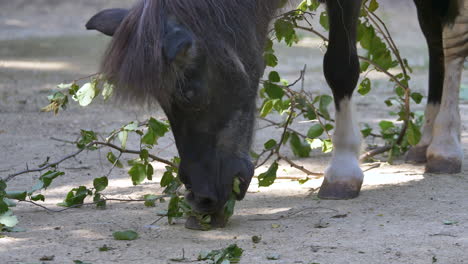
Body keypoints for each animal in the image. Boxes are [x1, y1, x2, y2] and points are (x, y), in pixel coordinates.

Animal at [86, 0, 466, 228]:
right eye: (163, 104)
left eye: (191, 92)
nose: (202, 200)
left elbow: (340, 66)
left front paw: (343, 170)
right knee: (434, 36)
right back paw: (426, 141)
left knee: (451, 39)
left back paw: (444, 147)